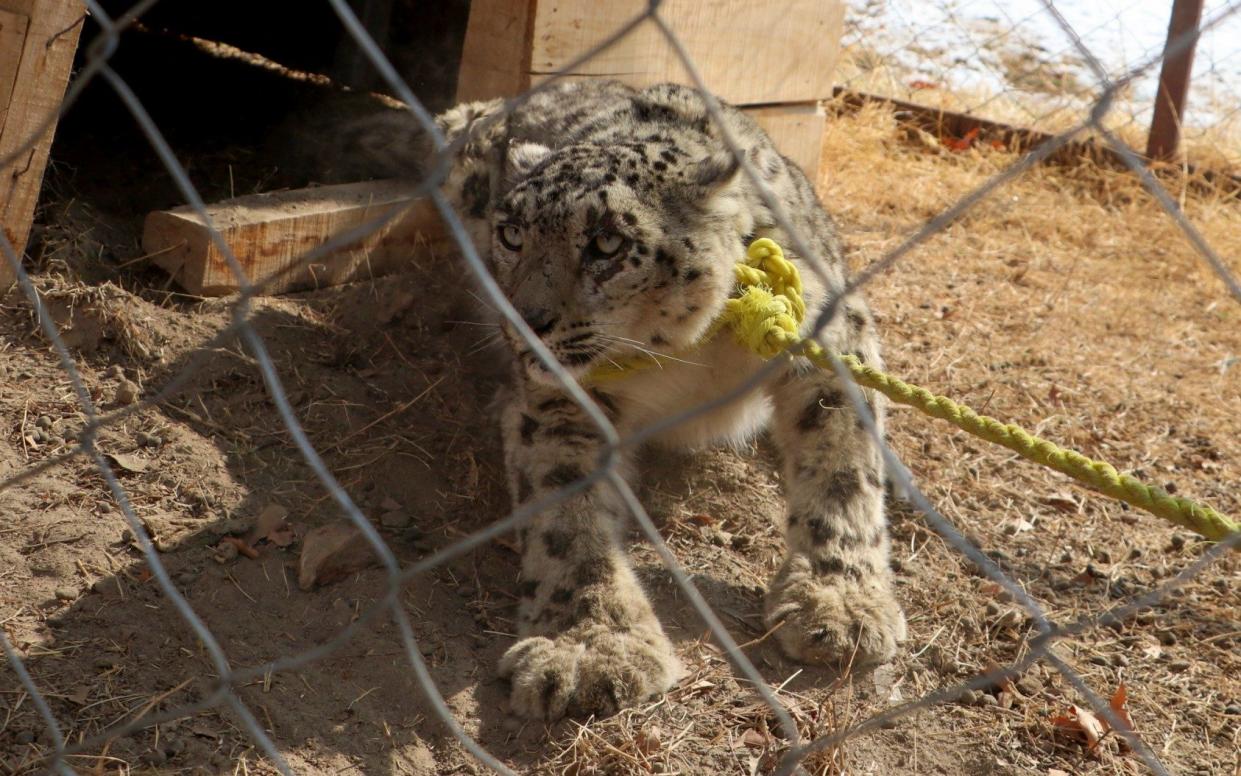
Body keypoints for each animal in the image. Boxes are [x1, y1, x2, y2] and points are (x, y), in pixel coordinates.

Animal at [412, 80, 908, 720]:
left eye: (606, 242)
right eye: (512, 234)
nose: (525, 322)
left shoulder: (829, 340)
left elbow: (843, 472)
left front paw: (840, 605)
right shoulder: (563, 402)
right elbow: (567, 517)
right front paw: (590, 649)